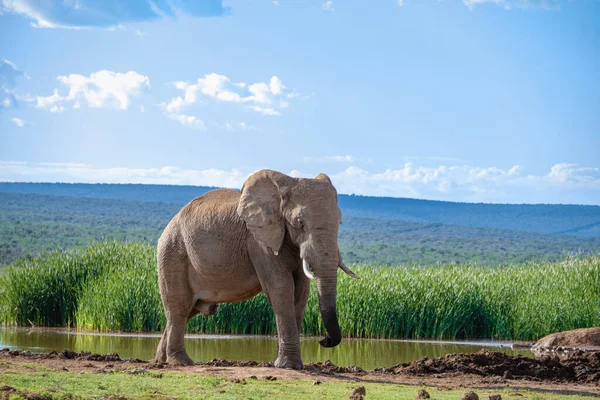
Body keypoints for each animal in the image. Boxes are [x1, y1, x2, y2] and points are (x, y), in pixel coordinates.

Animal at [156, 168, 360, 368]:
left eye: (339, 222)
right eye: (299, 223)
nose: (324, 340)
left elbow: (301, 293)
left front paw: (282, 363)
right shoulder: (258, 242)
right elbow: (281, 288)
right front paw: (288, 366)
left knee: (189, 311)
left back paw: (161, 361)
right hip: (173, 252)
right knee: (179, 308)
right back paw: (181, 362)